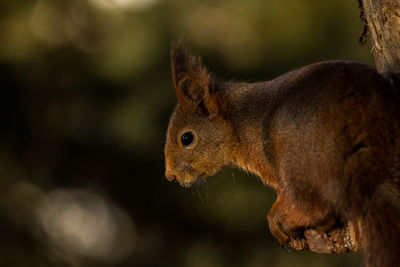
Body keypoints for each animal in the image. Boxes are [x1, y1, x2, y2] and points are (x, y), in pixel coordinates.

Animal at [163, 40, 400, 267]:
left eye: (186, 138)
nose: (170, 176)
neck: (238, 123)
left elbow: (285, 196)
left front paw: (276, 215)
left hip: (295, 161)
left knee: (319, 209)